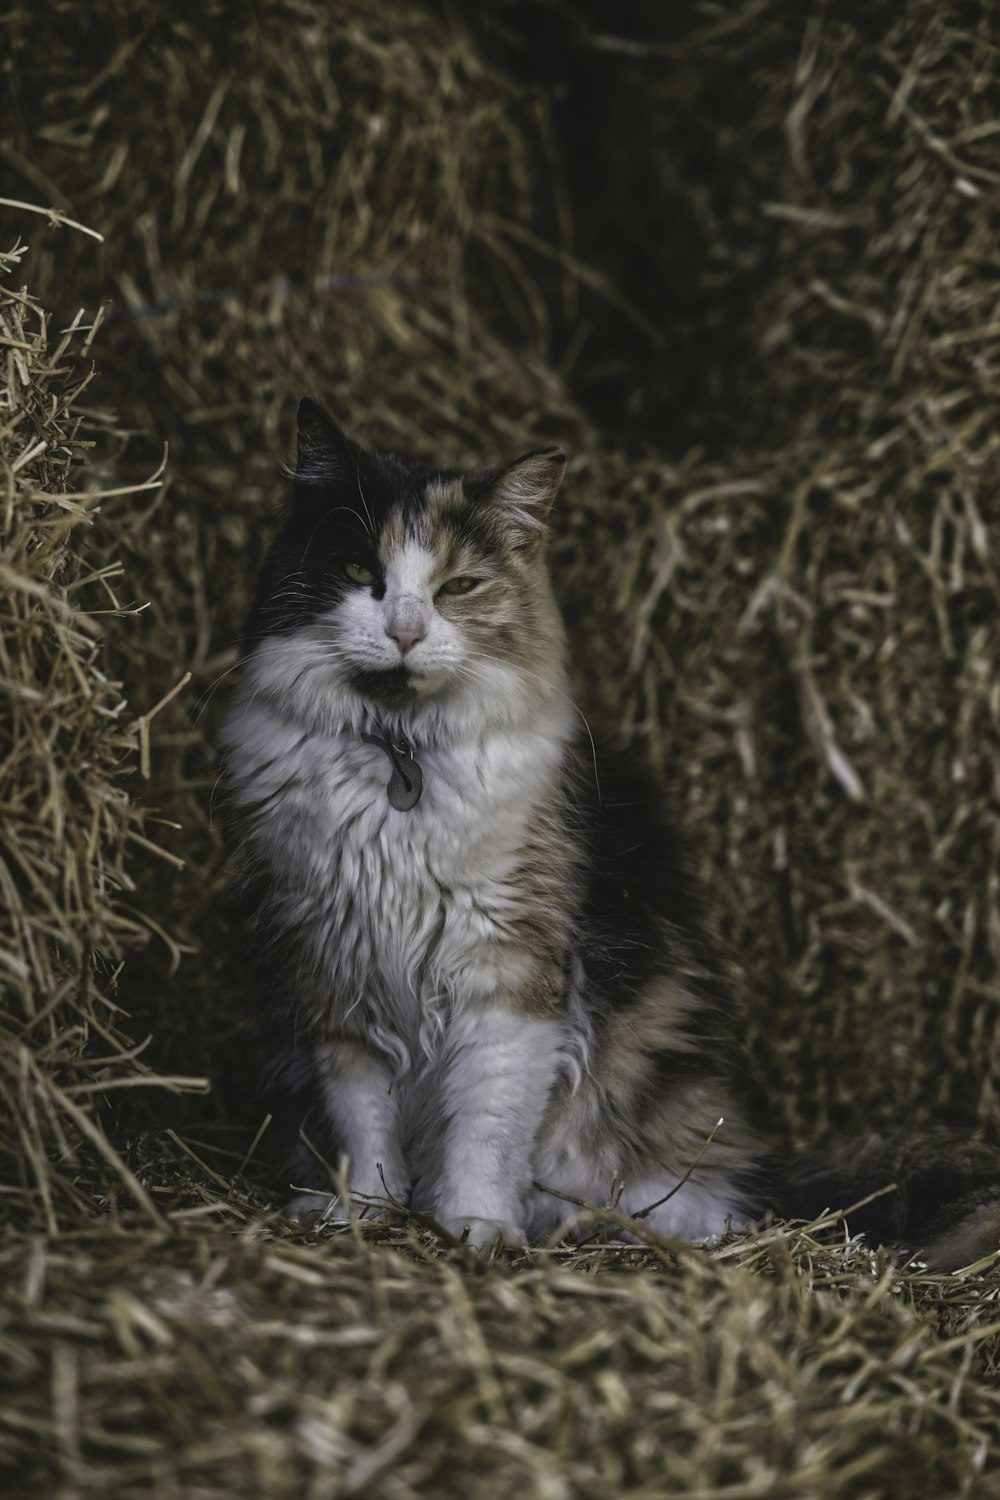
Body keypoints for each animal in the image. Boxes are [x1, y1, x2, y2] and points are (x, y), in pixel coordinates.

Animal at [217, 399, 1000, 1266]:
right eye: (361, 573)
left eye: (459, 587)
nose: (406, 633)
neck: (401, 752)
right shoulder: (335, 974)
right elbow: (364, 1122)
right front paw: (367, 1210)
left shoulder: (510, 975)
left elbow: (485, 1124)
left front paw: (476, 1223)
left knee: (694, 1206)